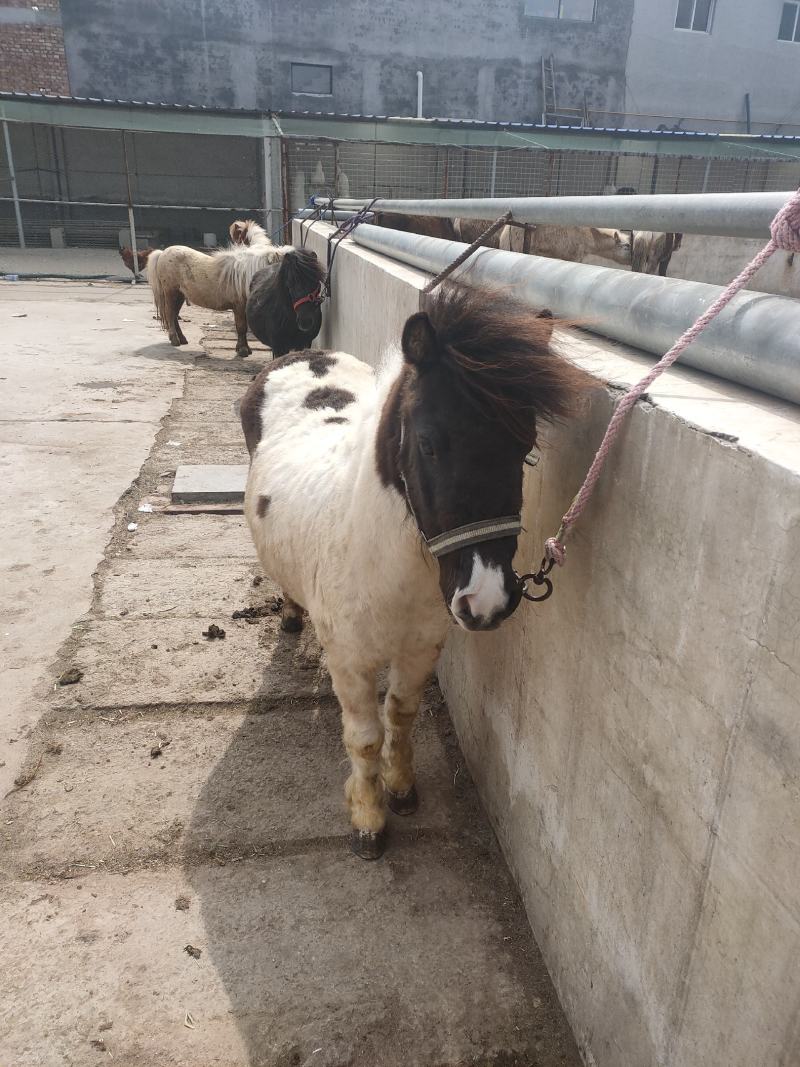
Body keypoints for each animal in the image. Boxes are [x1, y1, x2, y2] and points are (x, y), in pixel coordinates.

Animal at [146, 221, 291, 356]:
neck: (246, 275)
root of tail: (162, 253)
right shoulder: (239, 307)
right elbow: (241, 327)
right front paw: (243, 350)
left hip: (180, 295)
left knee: (175, 315)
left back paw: (182, 339)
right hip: (171, 292)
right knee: (170, 314)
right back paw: (175, 340)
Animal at [239, 283, 589, 859]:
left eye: (525, 450)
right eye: (428, 443)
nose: (488, 601)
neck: (384, 566)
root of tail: (303, 355)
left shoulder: (422, 647)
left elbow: (399, 717)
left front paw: (401, 791)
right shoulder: (350, 661)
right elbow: (364, 738)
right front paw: (368, 821)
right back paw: (290, 615)